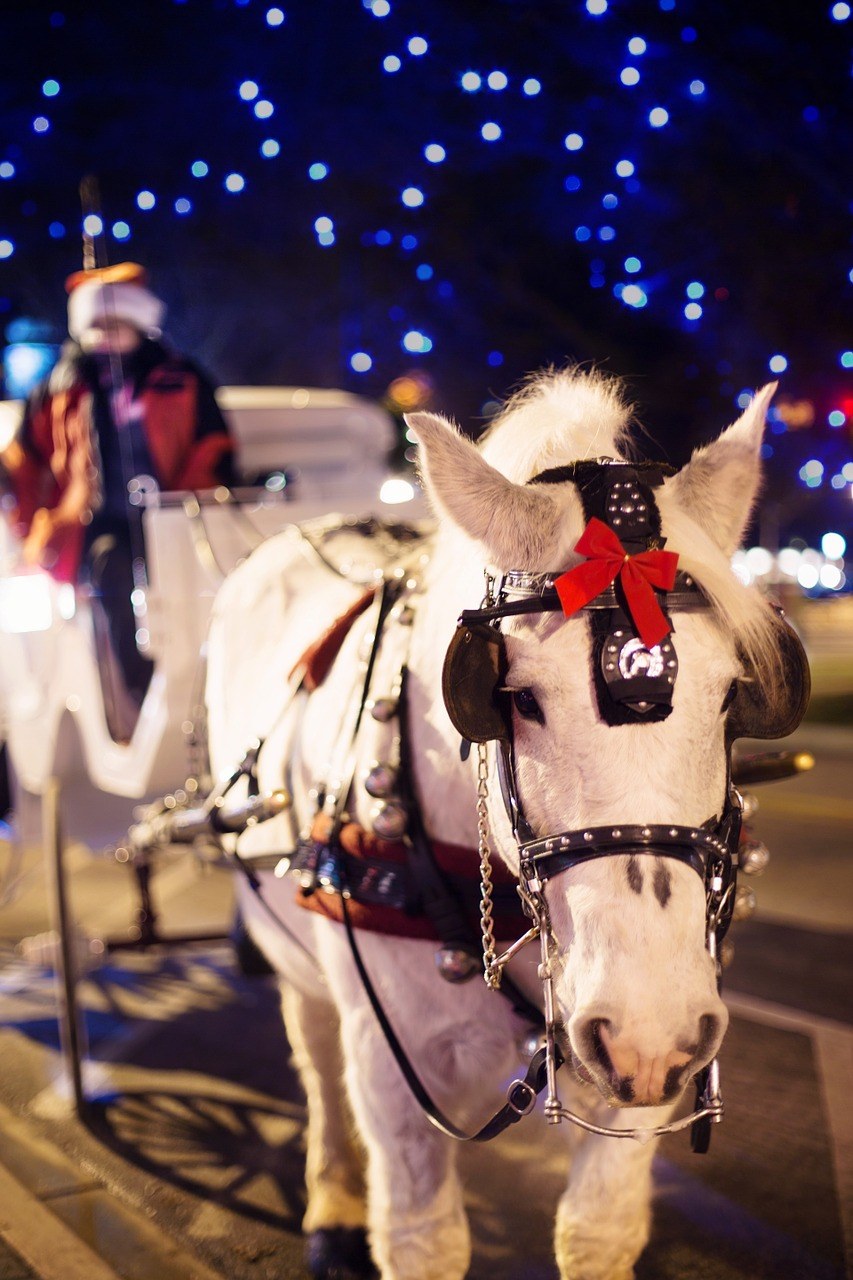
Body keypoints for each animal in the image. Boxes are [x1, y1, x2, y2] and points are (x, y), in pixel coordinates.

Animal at [204, 366, 788, 1274]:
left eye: (733, 696)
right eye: (513, 698)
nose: (649, 1030)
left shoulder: (641, 1065)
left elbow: (596, 1229)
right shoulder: (389, 1064)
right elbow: (421, 1235)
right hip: (290, 945)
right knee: (315, 1050)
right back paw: (332, 1198)